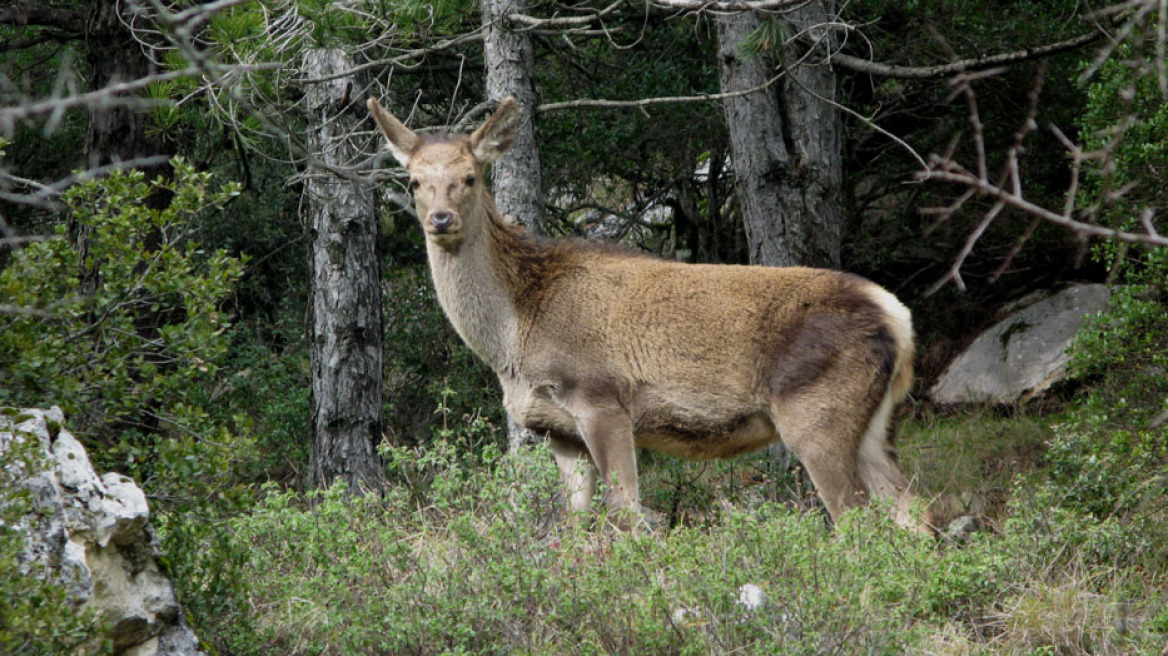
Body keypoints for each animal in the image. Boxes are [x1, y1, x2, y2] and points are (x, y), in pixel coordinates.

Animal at [366, 93, 929, 532]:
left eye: (470, 176)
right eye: (413, 181)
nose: (441, 219)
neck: (512, 338)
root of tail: (898, 318)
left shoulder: (601, 399)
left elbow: (628, 515)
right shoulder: (559, 432)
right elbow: (575, 527)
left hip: (817, 413)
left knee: (857, 520)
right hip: (876, 425)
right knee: (914, 516)